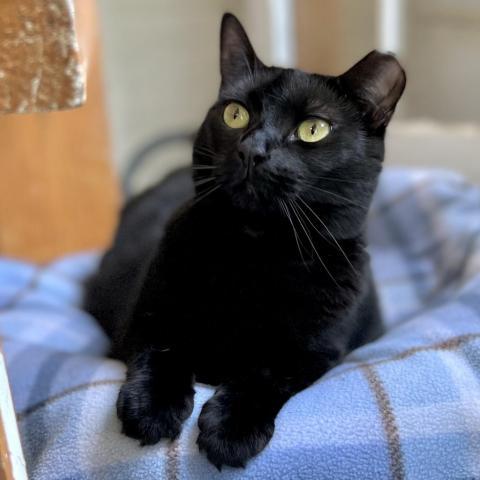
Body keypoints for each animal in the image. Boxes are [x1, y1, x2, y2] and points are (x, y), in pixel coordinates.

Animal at [83, 13, 404, 470]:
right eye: (235, 114)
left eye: (313, 129)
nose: (253, 149)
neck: (256, 255)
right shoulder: (144, 317)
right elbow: (161, 350)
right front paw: (151, 410)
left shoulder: (317, 352)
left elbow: (264, 374)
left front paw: (231, 432)